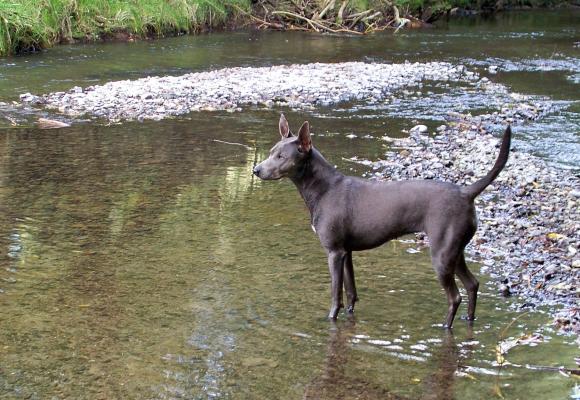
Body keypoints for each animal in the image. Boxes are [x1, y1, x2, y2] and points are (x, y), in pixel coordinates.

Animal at [251, 113, 510, 328]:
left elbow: (336, 296)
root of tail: (466, 193)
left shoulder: (334, 252)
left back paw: (445, 327)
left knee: (455, 296)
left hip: (441, 255)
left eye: (281, 156)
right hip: (455, 251)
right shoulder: (346, 252)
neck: (323, 189)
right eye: (271, 151)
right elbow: (351, 292)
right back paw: (469, 320)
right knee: (472, 284)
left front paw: (330, 318)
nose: (256, 170)